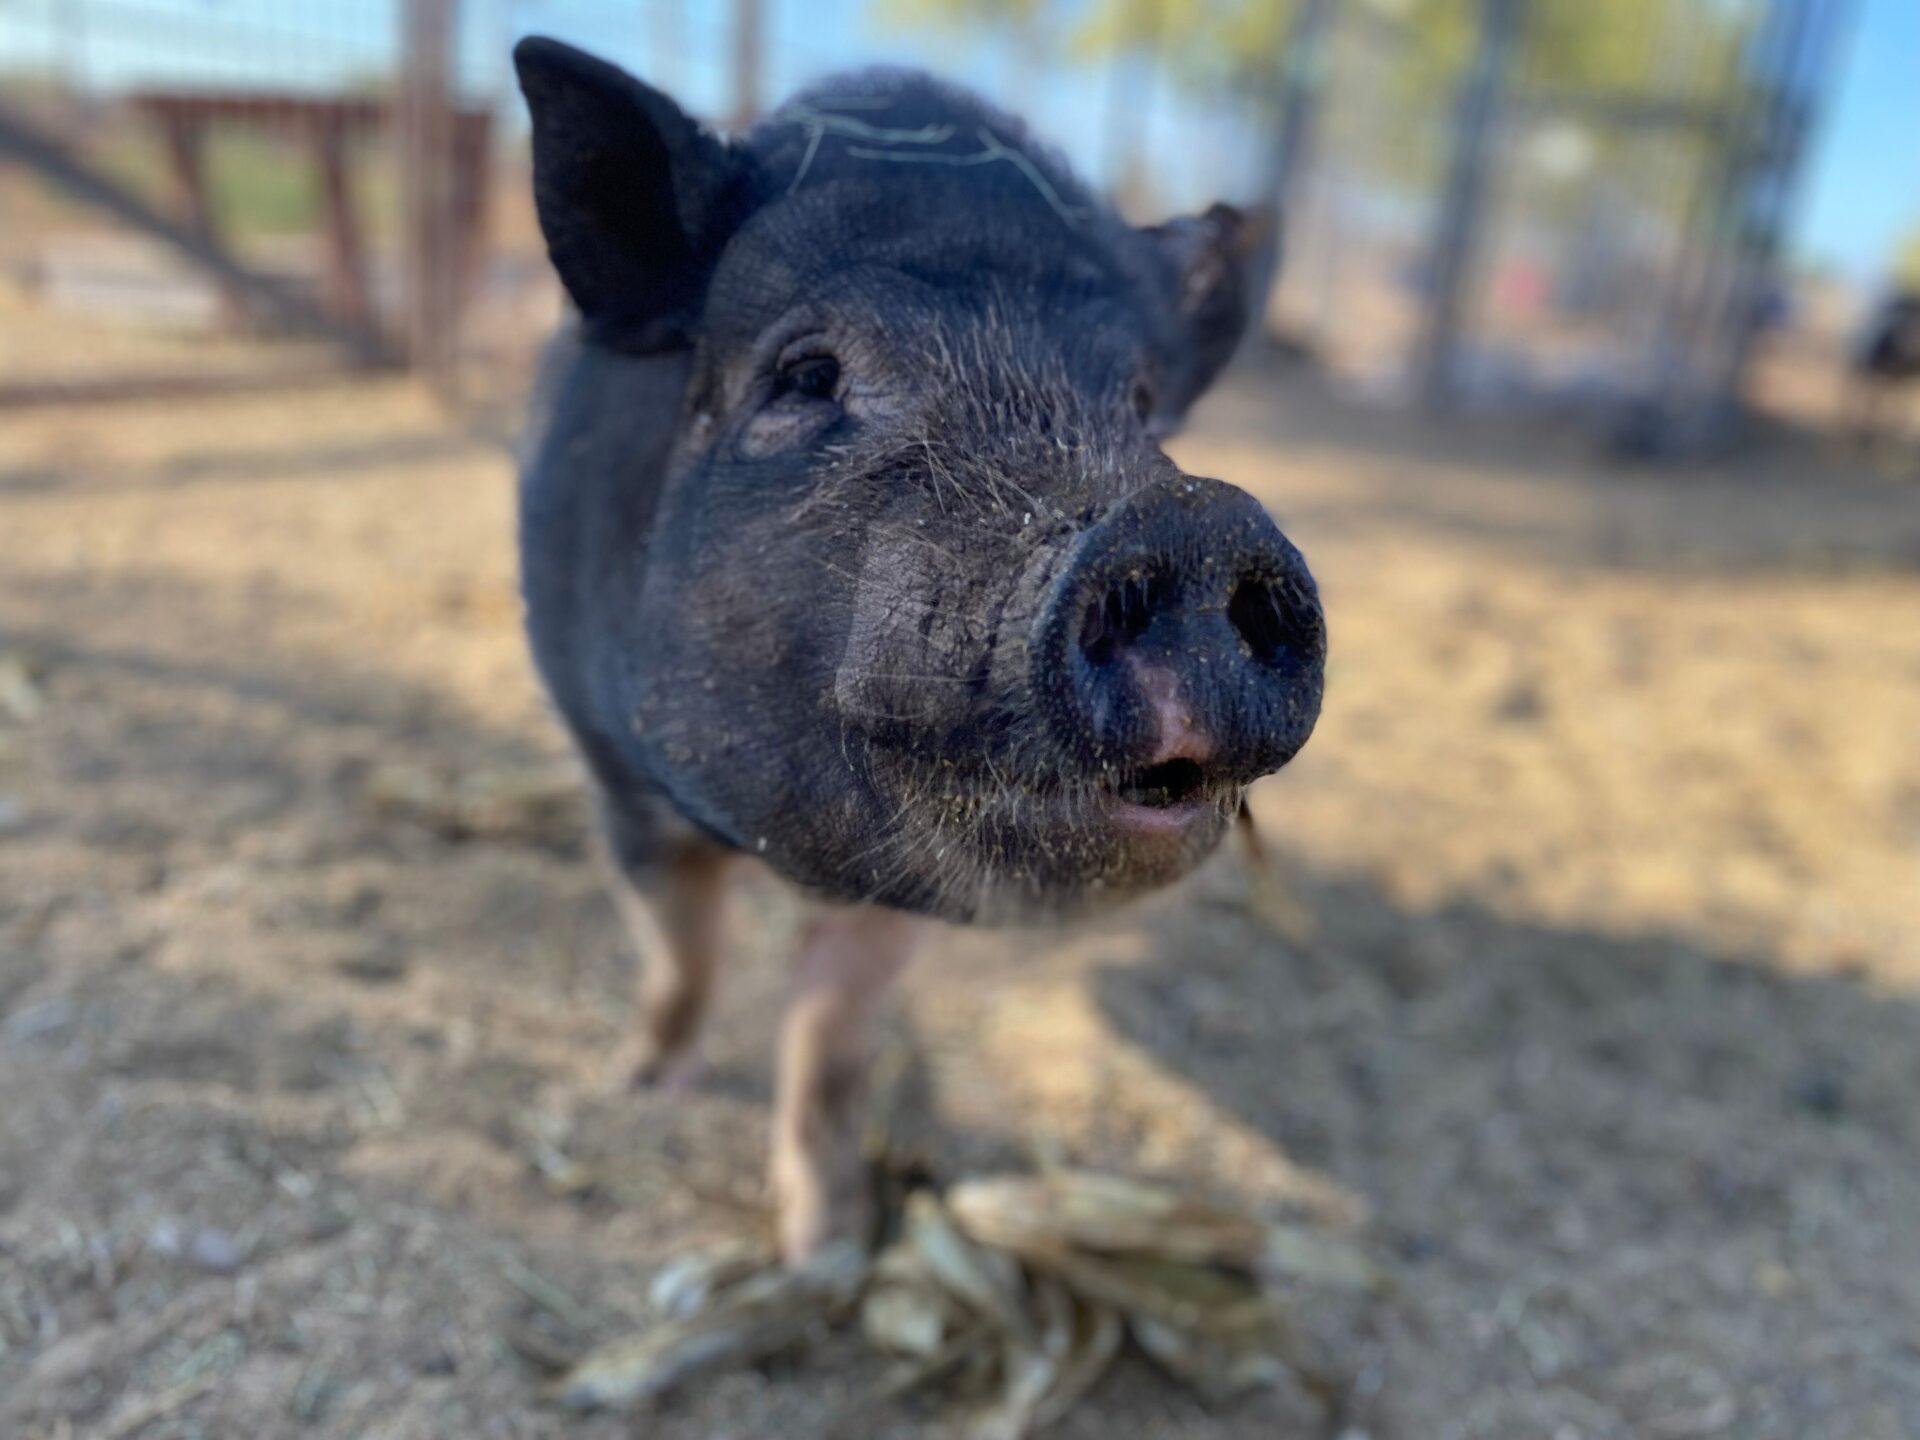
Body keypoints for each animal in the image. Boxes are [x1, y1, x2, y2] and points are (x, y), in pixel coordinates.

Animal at [512, 37, 1326, 1260]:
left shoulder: (905, 885)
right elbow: (682, 948)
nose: (1197, 520)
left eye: (1142, 401)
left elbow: (831, 1044)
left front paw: (828, 1244)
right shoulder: (617, 773)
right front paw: (646, 1086)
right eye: (809, 373)